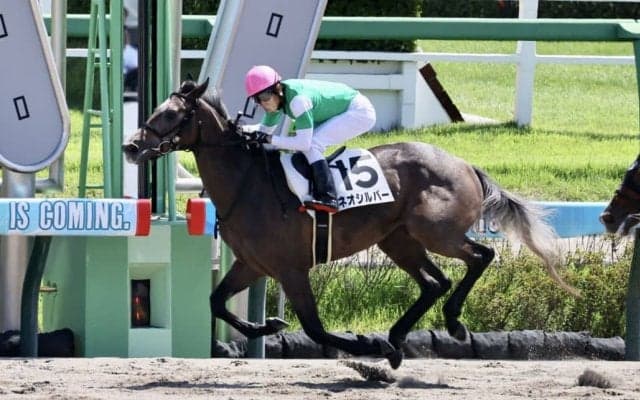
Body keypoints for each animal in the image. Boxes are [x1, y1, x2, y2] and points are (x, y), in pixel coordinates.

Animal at [122, 78, 573, 369]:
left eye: (172, 114)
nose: (130, 146)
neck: (248, 184)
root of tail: (464, 165)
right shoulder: (252, 264)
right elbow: (216, 302)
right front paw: (267, 324)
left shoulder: (291, 268)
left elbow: (316, 329)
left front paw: (367, 345)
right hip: (399, 240)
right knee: (435, 282)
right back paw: (399, 336)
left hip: (437, 232)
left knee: (481, 256)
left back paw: (450, 323)